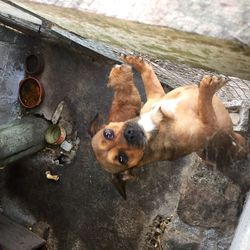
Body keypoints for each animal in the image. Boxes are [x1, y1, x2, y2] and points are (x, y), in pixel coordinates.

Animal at [89, 56, 246, 178]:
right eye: (122, 159)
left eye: (108, 134)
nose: (129, 134)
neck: (153, 125)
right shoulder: (209, 127)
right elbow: (205, 104)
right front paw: (209, 87)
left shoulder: (157, 95)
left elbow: (149, 76)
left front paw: (136, 61)